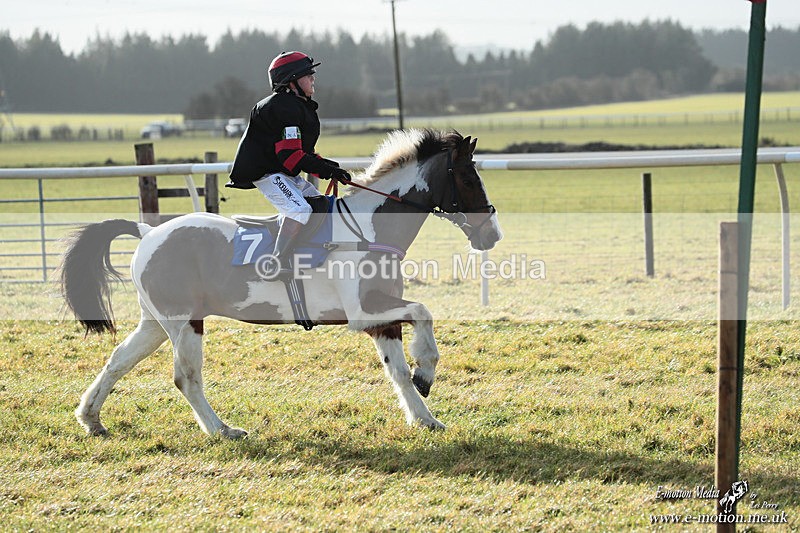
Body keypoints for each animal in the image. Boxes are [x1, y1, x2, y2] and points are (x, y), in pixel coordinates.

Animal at [58, 129, 503, 438]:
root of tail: (149, 232)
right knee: (185, 376)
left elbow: (398, 371)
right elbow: (423, 314)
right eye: (467, 178)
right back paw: (222, 430)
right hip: (184, 322)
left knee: (118, 360)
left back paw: (91, 418)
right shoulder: (365, 313)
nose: (492, 234)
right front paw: (425, 372)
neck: (369, 227)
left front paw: (425, 416)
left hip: (156, 322)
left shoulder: (381, 318)